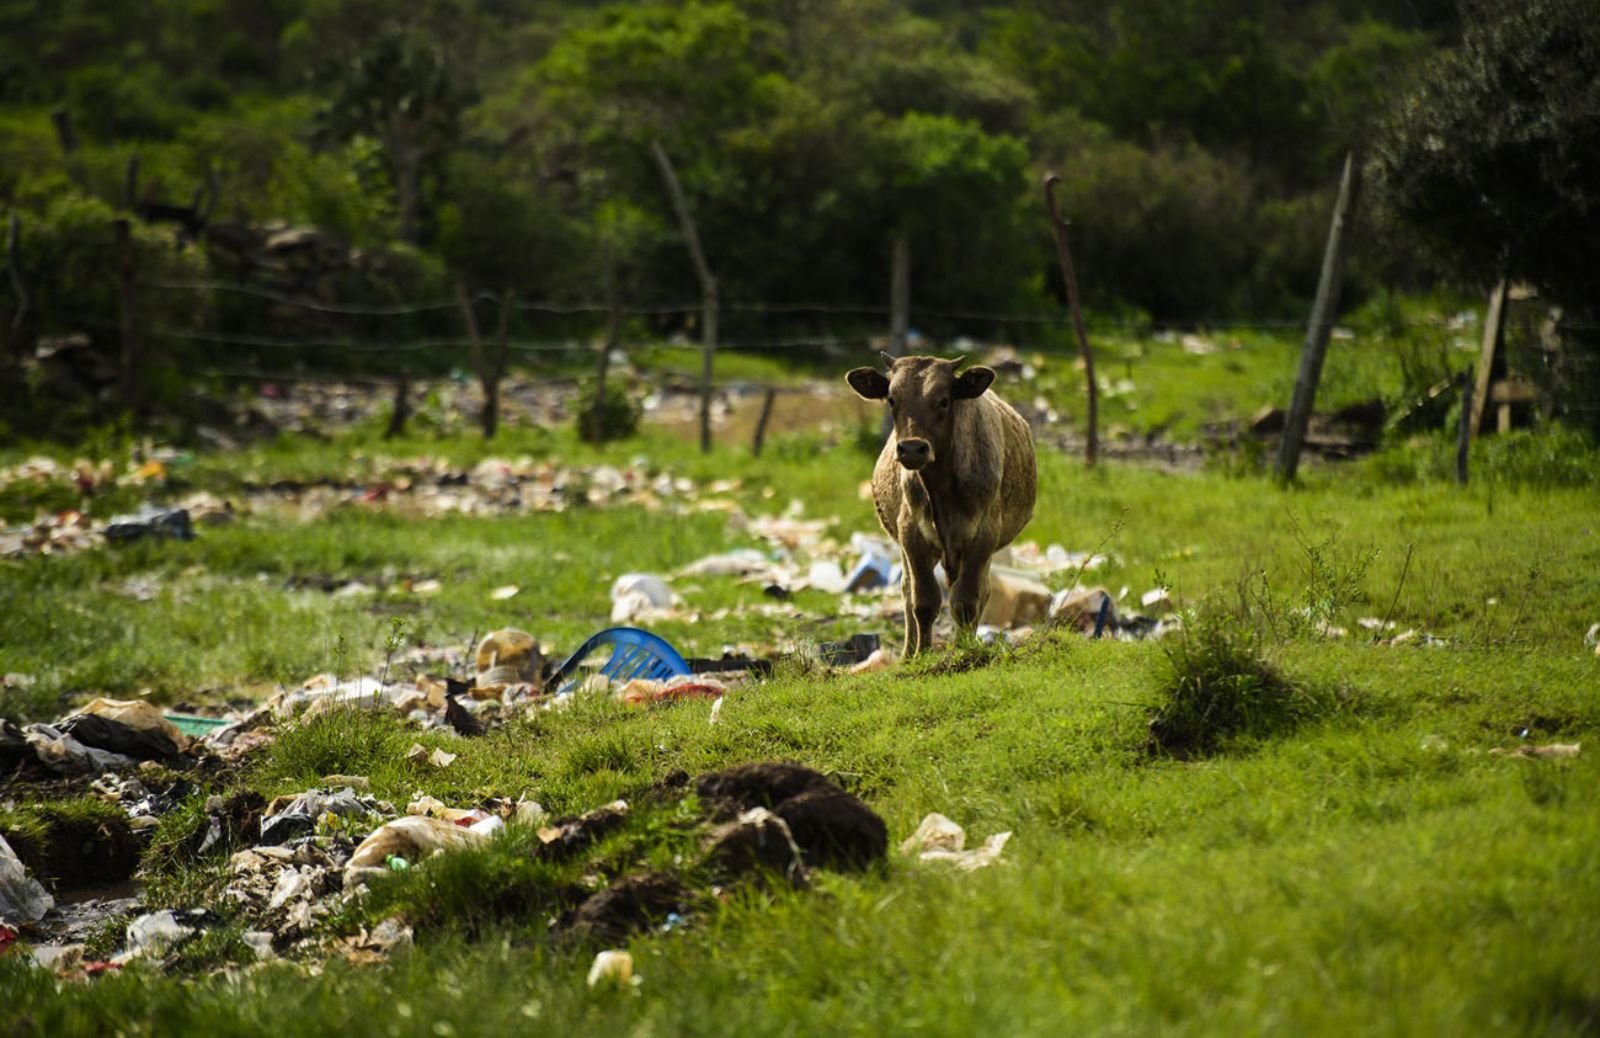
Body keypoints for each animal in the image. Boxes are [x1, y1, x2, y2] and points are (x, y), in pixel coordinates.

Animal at [851, 351, 1036, 652]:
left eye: (944, 400)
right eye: (892, 399)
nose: (912, 448)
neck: (940, 486)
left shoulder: (983, 536)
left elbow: (967, 601)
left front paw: (963, 651)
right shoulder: (911, 535)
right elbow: (924, 601)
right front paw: (921, 655)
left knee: (981, 592)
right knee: (907, 591)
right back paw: (907, 653)